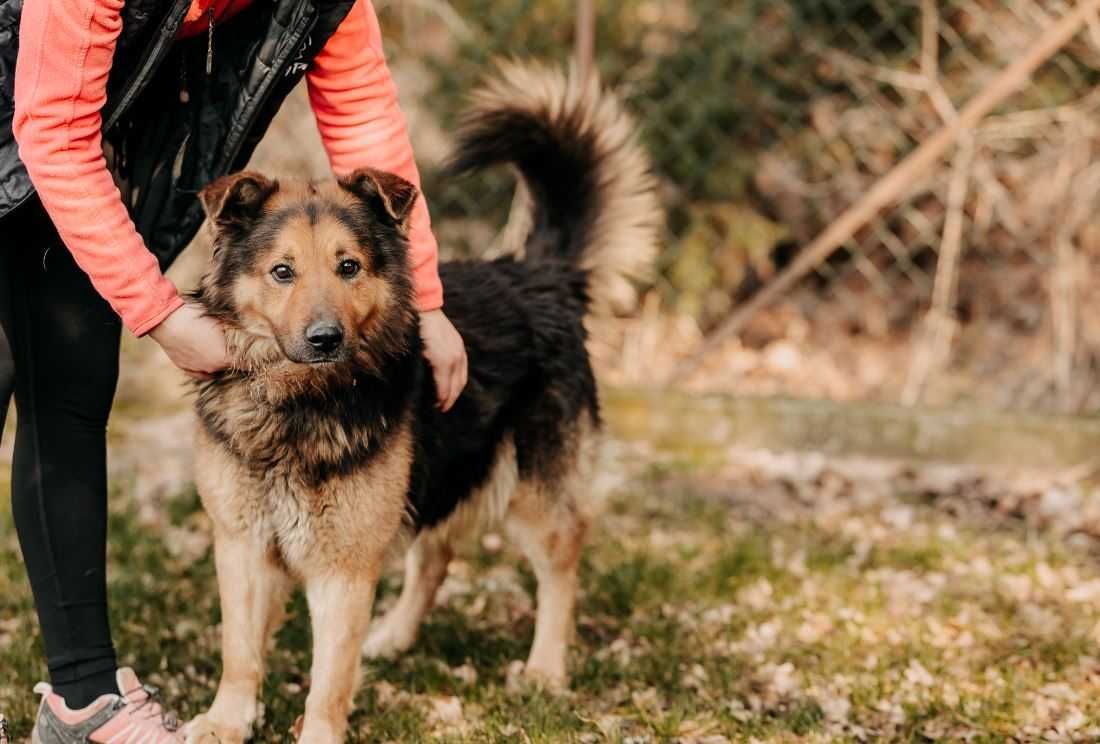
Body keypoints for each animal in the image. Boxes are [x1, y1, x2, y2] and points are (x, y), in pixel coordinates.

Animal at [187, 65, 660, 743]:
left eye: (349, 267)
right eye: (282, 272)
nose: (325, 339)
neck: (298, 406)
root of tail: (539, 272)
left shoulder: (345, 567)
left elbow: (329, 679)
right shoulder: (241, 545)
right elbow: (240, 651)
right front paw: (226, 721)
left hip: (532, 494)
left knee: (560, 565)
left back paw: (545, 669)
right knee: (436, 552)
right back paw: (395, 635)